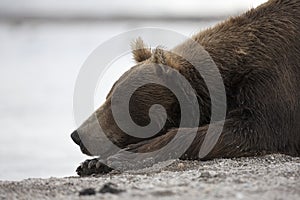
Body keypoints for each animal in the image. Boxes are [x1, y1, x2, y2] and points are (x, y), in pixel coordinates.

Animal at [71, 0, 300, 176]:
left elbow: (255, 129)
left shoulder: (272, 77)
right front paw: (92, 163)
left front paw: (120, 156)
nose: (77, 135)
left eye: (117, 100)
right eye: (107, 96)